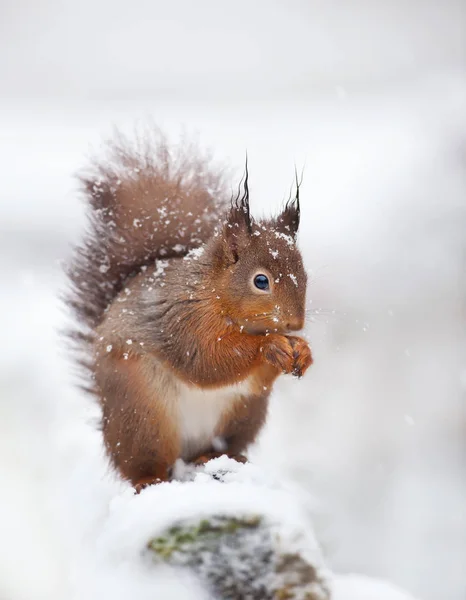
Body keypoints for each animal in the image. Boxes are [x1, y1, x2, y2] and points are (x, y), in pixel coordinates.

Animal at [67, 129, 312, 490]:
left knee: (219, 445)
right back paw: (149, 479)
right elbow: (207, 361)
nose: (295, 324)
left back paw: (216, 457)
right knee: (142, 464)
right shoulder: (181, 320)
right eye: (261, 281)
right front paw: (270, 346)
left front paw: (302, 351)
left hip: (243, 415)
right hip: (143, 415)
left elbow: (253, 379)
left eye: (305, 274)